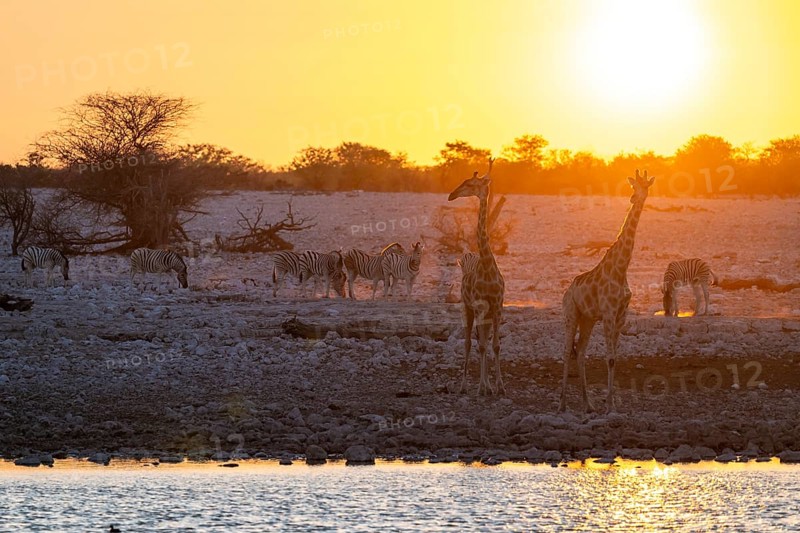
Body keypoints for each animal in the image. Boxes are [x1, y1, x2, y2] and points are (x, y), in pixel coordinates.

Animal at [559, 169, 655, 413]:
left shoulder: (621, 314)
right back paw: (562, 404)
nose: (634, 198)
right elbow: (609, 358)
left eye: (646, 187)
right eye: (633, 186)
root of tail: (567, 292)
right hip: (571, 314)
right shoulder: (609, 313)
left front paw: (610, 404)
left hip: (588, 319)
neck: (621, 268)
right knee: (566, 351)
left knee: (580, 351)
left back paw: (588, 404)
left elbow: (615, 358)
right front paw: (610, 405)